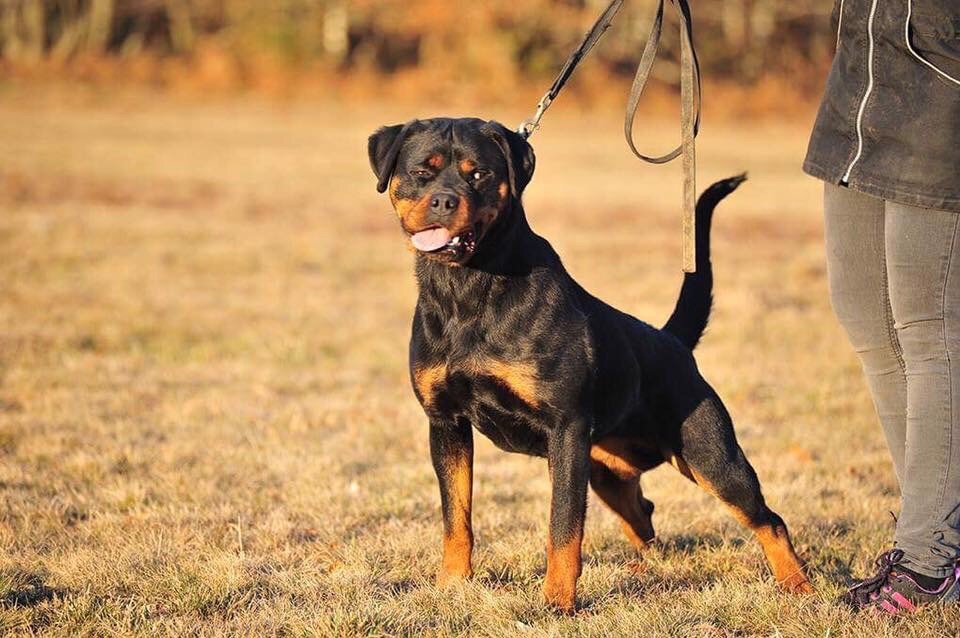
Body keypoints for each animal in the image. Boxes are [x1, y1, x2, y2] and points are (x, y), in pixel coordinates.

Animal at [366, 117, 808, 612]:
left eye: (477, 174)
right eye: (423, 171)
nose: (444, 200)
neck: (467, 288)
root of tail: (672, 340)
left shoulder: (566, 429)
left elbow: (563, 527)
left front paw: (557, 603)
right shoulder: (446, 423)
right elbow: (455, 516)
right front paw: (453, 586)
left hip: (710, 456)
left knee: (768, 518)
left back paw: (801, 589)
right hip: (607, 470)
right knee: (643, 516)